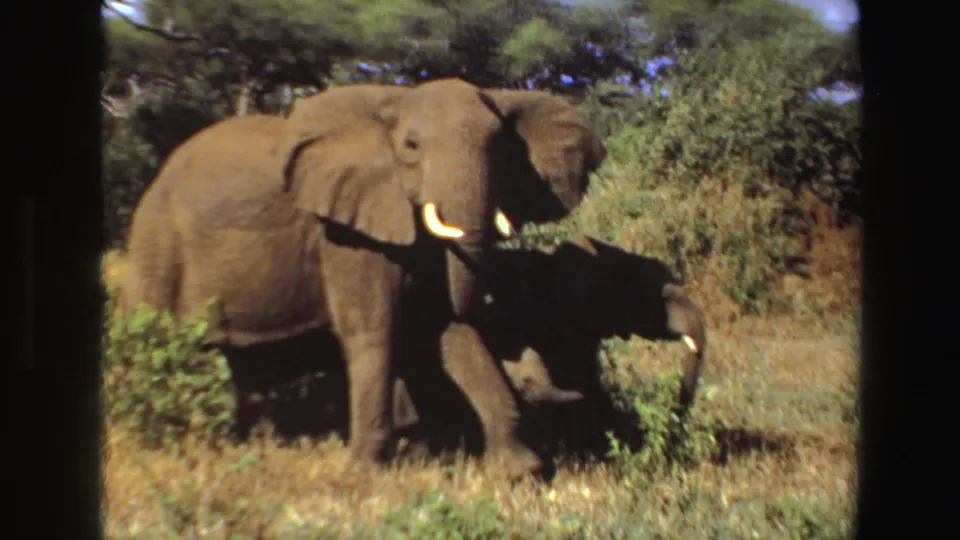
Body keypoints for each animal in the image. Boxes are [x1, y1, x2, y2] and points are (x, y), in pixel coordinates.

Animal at [114, 78, 606, 479]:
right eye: (411, 146)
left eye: (503, 150)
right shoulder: (344, 234)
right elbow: (376, 331)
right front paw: (365, 474)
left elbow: (449, 329)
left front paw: (522, 474)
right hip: (157, 245)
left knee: (243, 363)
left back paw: (251, 443)